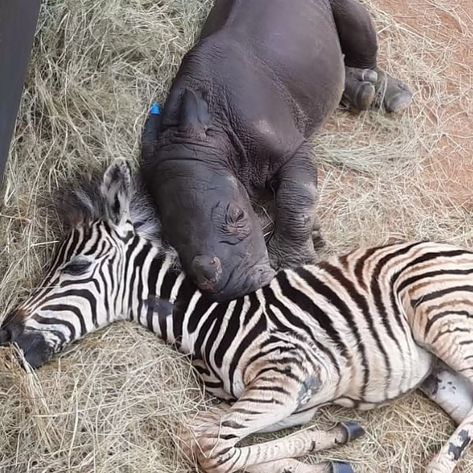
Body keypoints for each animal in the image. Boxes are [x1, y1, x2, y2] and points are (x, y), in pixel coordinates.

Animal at [2, 160, 472, 470]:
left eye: (75, 267)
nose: (7, 333)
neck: (207, 324)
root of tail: (456, 250)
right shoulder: (269, 399)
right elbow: (198, 435)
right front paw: (330, 443)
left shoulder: (289, 376)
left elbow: (214, 452)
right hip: (439, 374)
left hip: (443, 318)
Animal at [142, 0, 412, 300]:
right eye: (172, 243)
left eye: (237, 216)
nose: (234, 288)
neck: (213, 137)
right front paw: (313, 236)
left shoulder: (291, 149)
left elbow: (296, 198)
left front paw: (291, 263)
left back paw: (386, 94)